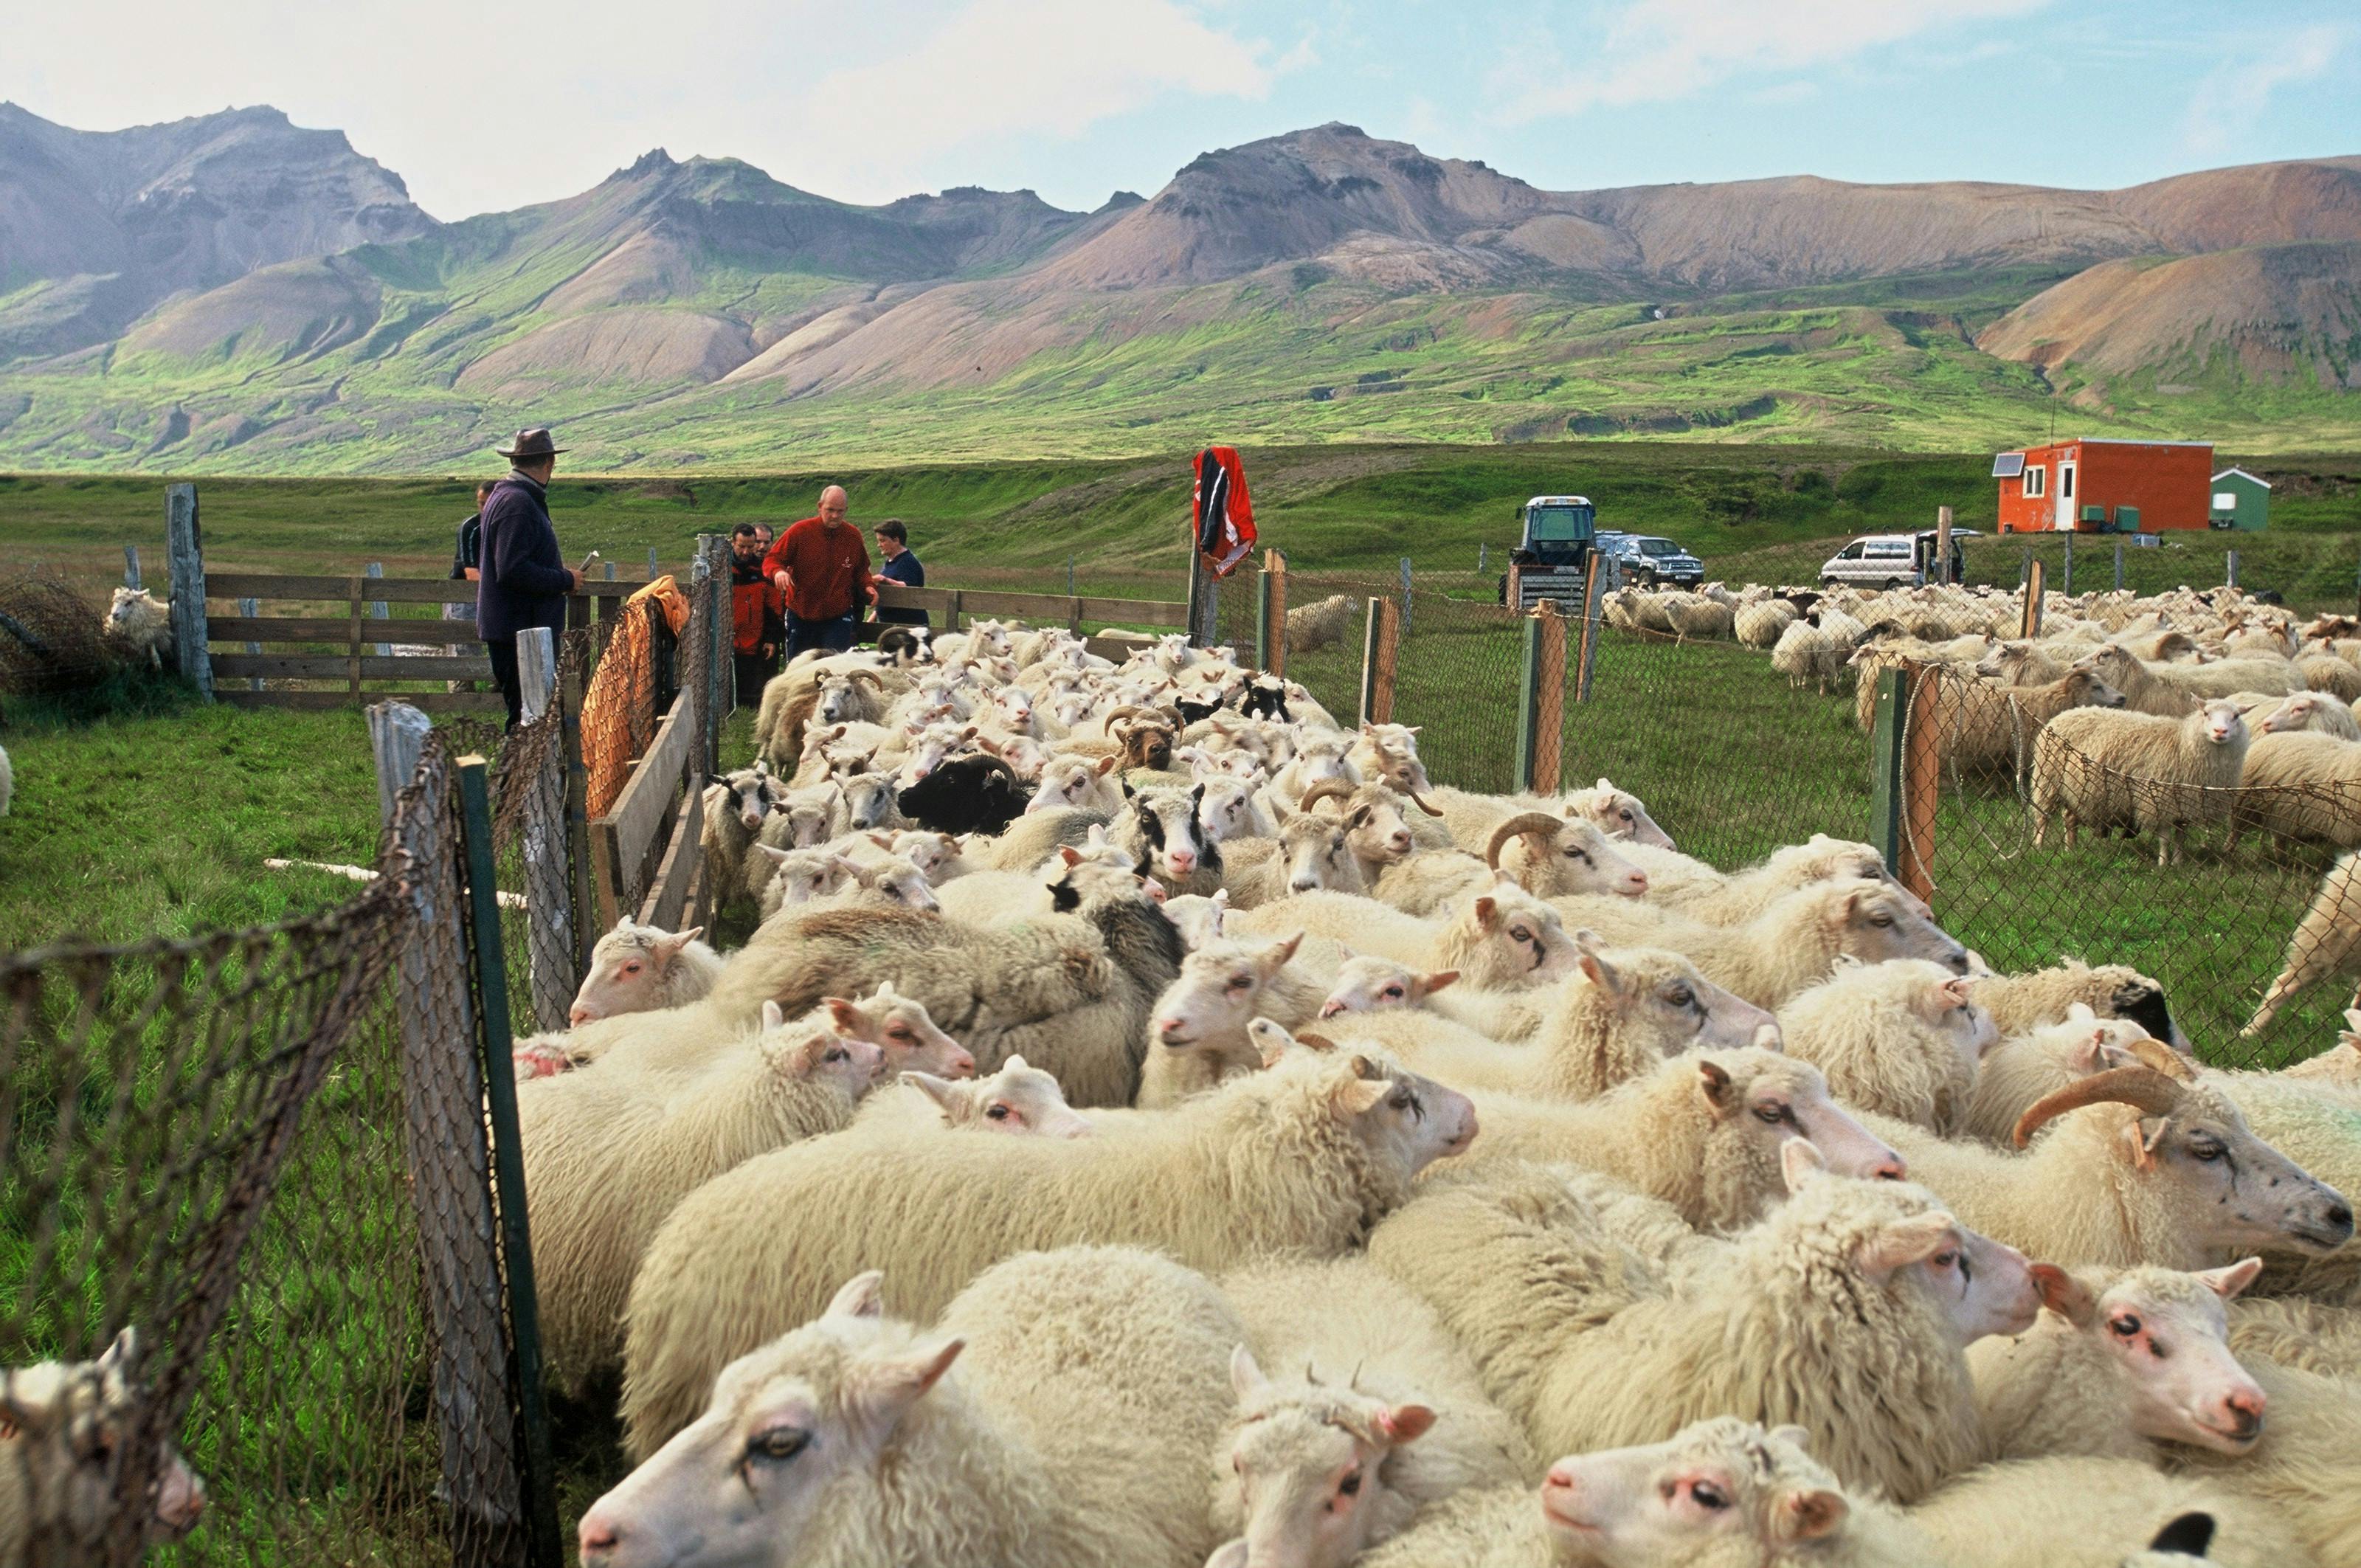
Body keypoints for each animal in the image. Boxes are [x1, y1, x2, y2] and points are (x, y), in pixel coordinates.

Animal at [2030, 699, 2247, 864]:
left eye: (2236, 716)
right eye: (2206, 713)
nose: (2220, 731)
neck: (2183, 744)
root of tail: (2069, 712)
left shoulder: (2182, 807)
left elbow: (2180, 838)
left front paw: (2178, 863)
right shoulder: (2159, 801)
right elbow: (2164, 838)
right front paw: (2163, 864)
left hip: (2076, 788)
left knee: (2069, 818)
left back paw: (2071, 849)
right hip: (2048, 779)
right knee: (2043, 817)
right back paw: (2039, 847)